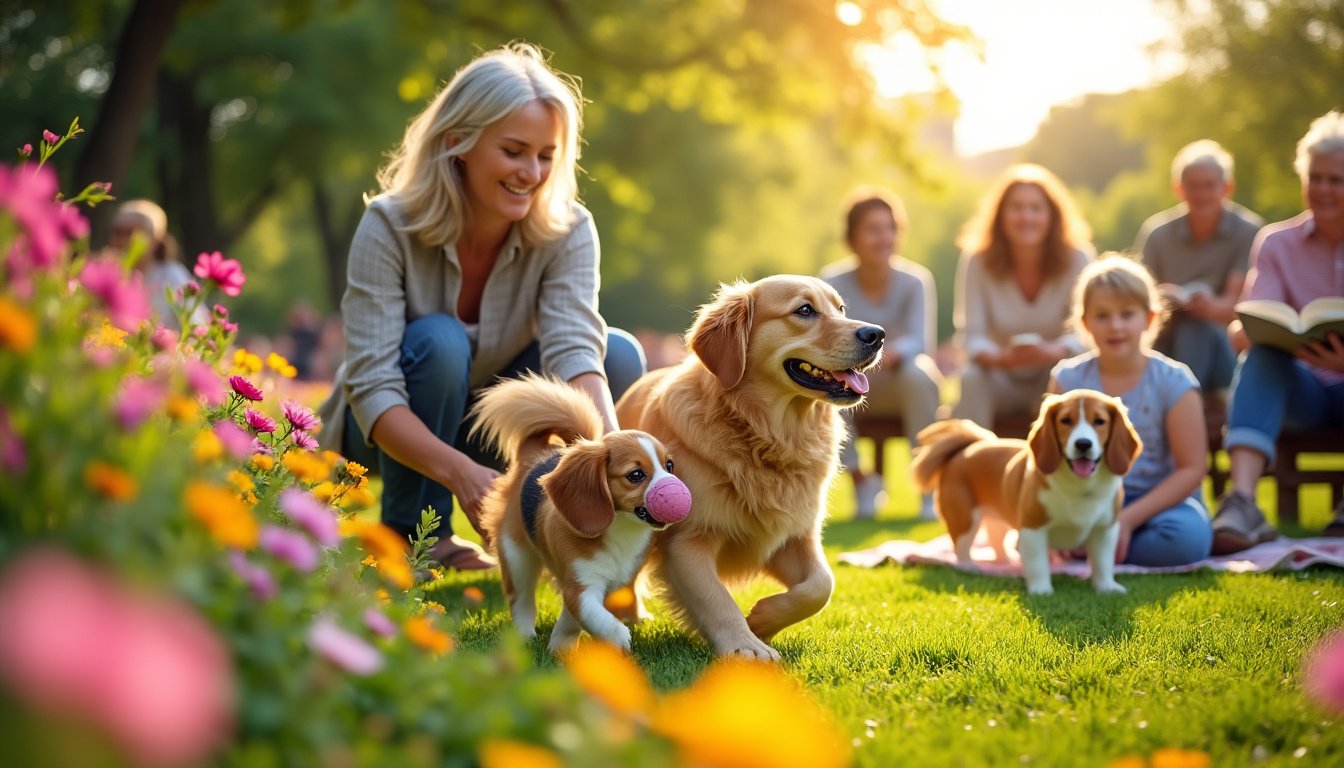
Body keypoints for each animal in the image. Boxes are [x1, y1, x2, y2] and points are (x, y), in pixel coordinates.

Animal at [470, 376, 688, 650]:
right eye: (636, 475)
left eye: (669, 465)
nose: (676, 491)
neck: (621, 530)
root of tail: (534, 456)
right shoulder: (582, 585)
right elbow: (593, 615)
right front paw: (618, 636)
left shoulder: (599, 583)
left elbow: (573, 617)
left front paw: (559, 644)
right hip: (516, 554)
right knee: (521, 598)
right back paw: (523, 635)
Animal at [615, 277, 887, 661]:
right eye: (805, 310)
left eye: (841, 309)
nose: (877, 334)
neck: (768, 433)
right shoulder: (686, 541)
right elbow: (716, 598)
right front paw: (746, 646)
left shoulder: (794, 535)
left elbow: (821, 585)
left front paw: (762, 619)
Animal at [908, 390, 1139, 594]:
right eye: (1066, 420)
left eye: (1099, 421)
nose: (1083, 444)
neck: (1079, 488)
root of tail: (968, 448)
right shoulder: (1032, 529)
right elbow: (1038, 564)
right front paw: (1041, 590)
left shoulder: (1105, 530)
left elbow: (1103, 563)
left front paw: (1106, 587)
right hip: (965, 519)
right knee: (961, 548)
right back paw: (970, 567)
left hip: (998, 518)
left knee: (995, 540)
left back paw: (1004, 562)